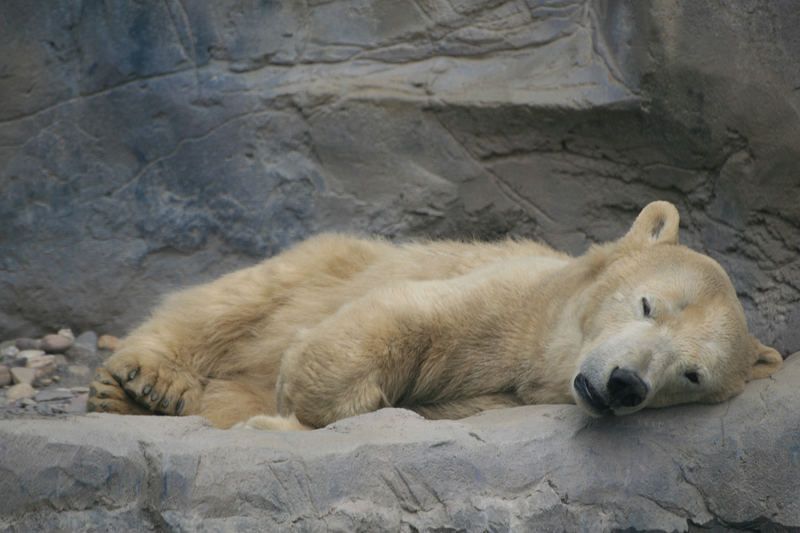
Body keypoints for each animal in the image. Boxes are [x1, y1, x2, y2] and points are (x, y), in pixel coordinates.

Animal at [87, 200, 780, 428]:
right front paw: (307, 394)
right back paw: (147, 383)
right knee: (235, 300)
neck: (546, 356)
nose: (625, 383)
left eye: (692, 375)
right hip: (335, 259)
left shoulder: (502, 398)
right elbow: (412, 314)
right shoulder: (514, 299)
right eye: (647, 304)